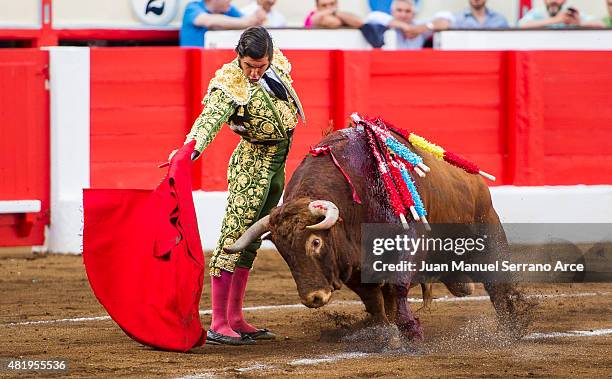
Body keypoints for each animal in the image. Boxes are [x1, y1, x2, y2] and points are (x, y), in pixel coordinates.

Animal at [227, 126, 532, 340]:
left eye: (315, 242)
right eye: (284, 253)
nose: (313, 298)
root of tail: (476, 181)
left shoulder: (408, 244)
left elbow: (397, 286)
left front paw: (410, 331)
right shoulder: (353, 265)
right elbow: (373, 299)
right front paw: (385, 332)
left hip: (488, 235)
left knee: (497, 284)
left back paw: (511, 327)